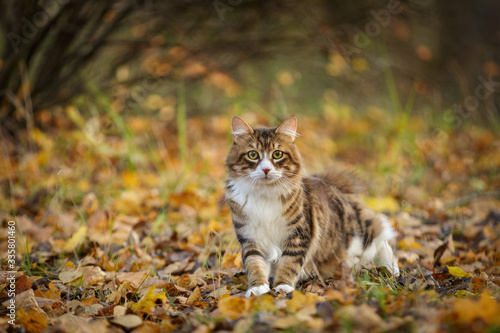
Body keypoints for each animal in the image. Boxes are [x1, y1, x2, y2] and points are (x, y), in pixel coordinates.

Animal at [225, 115, 400, 296]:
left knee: (380, 232)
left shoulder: (298, 234)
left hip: (358, 237)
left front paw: (283, 286)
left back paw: (392, 269)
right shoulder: (250, 237)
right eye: (253, 155)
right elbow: (255, 264)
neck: (265, 194)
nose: (266, 169)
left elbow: (289, 263)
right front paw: (258, 289)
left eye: (277, 154)